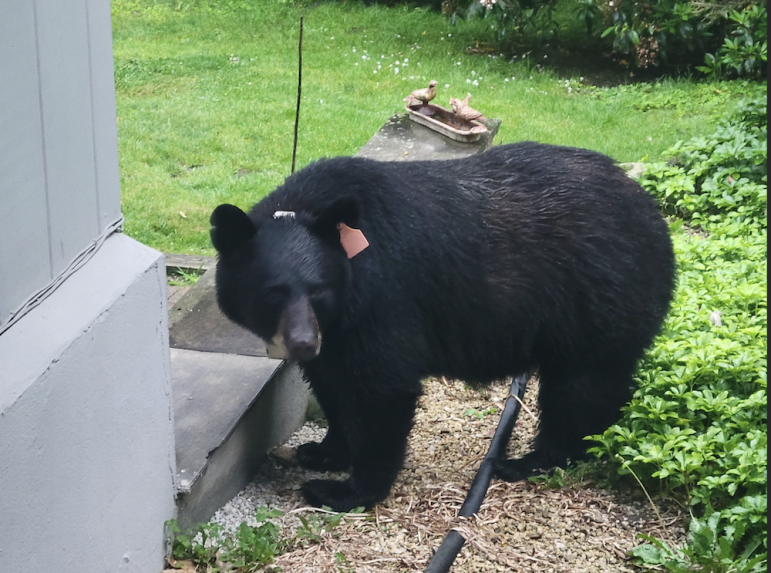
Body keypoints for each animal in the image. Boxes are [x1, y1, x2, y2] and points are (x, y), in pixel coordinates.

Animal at [210, 142, 676, 513]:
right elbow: (332, 384)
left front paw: (343, 491)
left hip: (598, 297)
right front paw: (322, 451)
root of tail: (653, 215)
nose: (303, 344)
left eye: (318, 290)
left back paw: (525, 462)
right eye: (273, 293)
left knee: (578, 390)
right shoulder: (337, 331)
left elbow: (382, 390)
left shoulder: (382, 300)